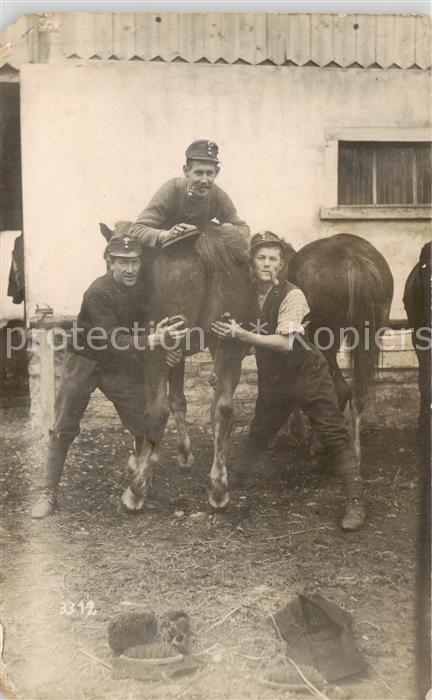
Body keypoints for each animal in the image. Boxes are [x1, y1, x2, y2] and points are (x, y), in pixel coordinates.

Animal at [101, 221, 250, 512]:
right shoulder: (180, 353)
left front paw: (151, 459)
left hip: (161, 347)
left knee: (156, 410)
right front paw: (184, 453)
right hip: (227, 341)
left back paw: (136, 491)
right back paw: (218, 487)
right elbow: (180, 400)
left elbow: (165, 404)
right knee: (223, 409)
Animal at [284, 234, 394, 464]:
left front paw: (298, 432)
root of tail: (354, 259)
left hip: (324, 338)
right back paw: (354, 451)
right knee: (357, 392)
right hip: (370, 332)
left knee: (339, 389)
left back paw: (319, 446)